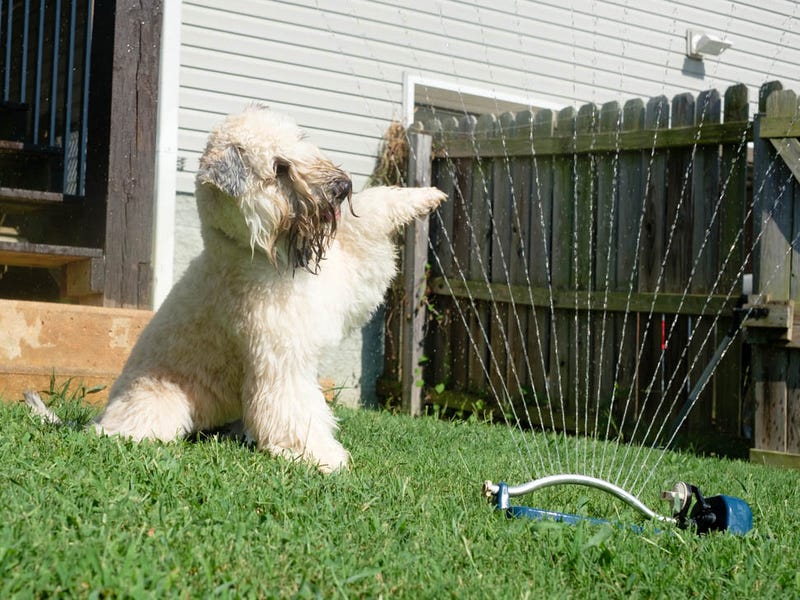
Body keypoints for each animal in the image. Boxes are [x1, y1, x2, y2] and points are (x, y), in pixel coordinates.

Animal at [25, 108, 446, 474]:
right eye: (279, 168)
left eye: (300, 140)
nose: (342, 188)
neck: (255, 252)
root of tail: (106, 408)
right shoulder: (280, 360)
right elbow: (295, 411)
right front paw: (324, 458)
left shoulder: (349, 279)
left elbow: (374, 214)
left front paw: (426, 195)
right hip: (160, 400)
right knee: (118, 430)